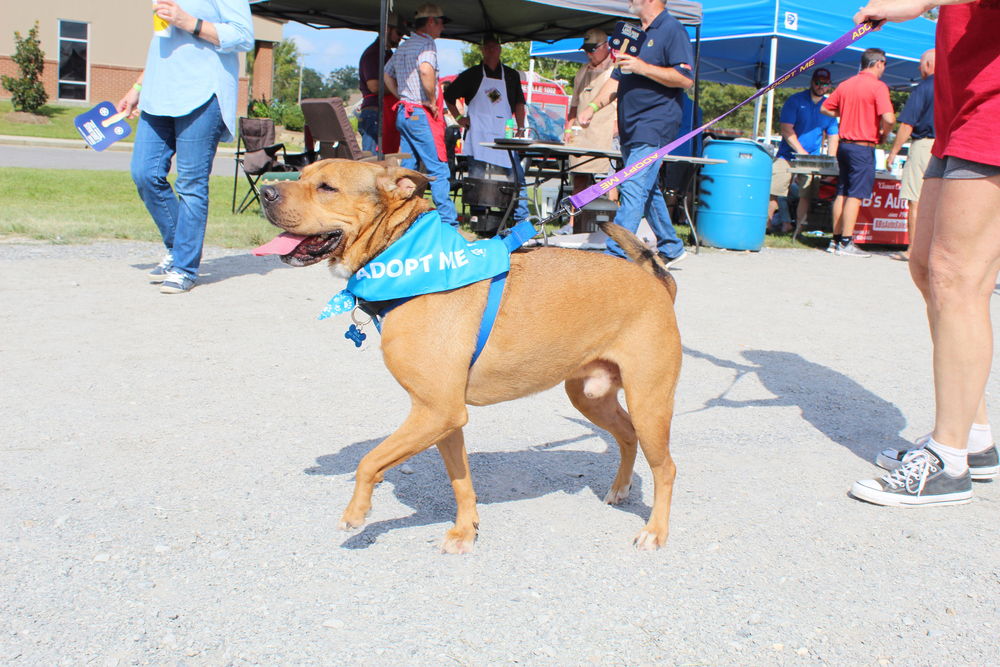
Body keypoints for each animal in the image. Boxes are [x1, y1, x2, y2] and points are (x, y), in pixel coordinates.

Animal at [260, 158, 680, 552]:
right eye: (301, 175)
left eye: (326, 187)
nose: (266, 192)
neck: (405, 258)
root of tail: (657, 283)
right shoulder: (443, 418)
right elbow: (460, 481)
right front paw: (466, 532)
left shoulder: (436, 411)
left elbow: (369, 462)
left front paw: (357, 512)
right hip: (591, 396)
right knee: (627, 436)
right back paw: (620, 488)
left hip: (649, 405)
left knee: (666, 468)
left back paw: (656, 531)